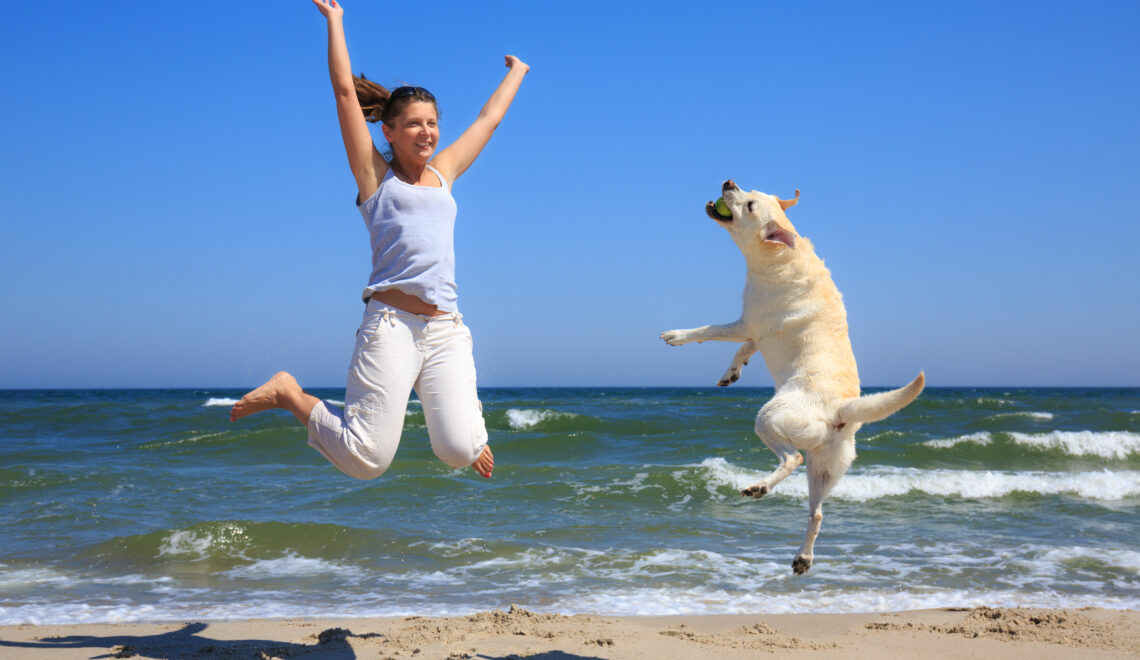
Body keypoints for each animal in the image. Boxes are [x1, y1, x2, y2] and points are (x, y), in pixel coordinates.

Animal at [665, 178, 921, 572]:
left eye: (749, 204)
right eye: (749, 191)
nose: (728, 181)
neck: (779, 256)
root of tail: (841, 409)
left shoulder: (746, 322)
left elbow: (710, 330)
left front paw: (678, 336)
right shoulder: (756, 332)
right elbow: (743, 351)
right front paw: (731, 373)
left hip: (769, 419)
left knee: (792, 459)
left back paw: (759, 487)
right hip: (826, 469)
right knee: (816, 512)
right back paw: (802, 556)